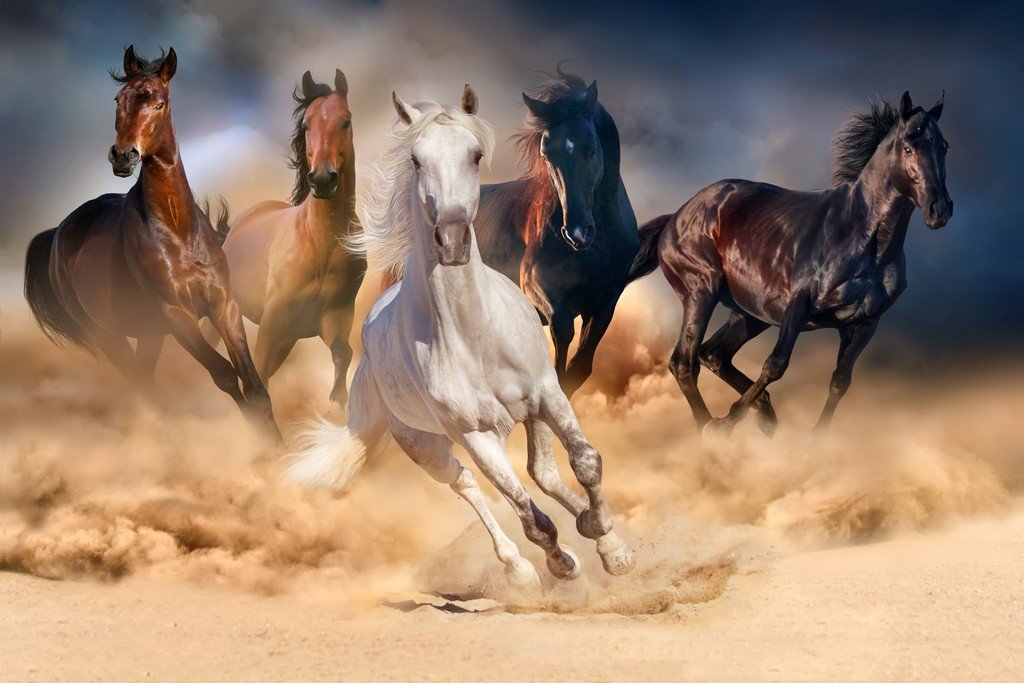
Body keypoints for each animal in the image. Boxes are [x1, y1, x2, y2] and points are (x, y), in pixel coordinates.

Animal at [23, 46, 278, 438]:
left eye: (160, 103)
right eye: (119, 99)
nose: (122, 155)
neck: (177, 230)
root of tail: (57, 233)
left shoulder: (224, 305)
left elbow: (253, 384)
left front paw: (279, 445)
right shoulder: (175, 315)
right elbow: (224, 375)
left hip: (148, 334)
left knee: (146, 379)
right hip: (108, 336)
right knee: (142, 385)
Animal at [217, 70, 363, 406]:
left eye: (346, 121)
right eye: (307, 125)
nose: (322, 179)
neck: (321, 241)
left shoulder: (334, 317)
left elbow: (343, 357)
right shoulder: (274, 321)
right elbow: (258, 378)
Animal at [473, 70, 638, 397]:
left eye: (592, 149)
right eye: (547, 154)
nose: (577, 232)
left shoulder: (606, 300)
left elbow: (580, 367)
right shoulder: (536, 283)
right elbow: (562, 333)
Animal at [627, 91, 952, 435]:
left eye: (943, 146)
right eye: (908, 147)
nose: (940, 209)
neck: (864, 241)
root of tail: (676, 216)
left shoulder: (864, 324)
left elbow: (840, 381)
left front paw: (815, 438)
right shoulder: (799, 305)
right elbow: (775, 365)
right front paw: (729, 420)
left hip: (749, 313)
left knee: (713, 354)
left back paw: (764, 414)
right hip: (701, 292)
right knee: (684, 363)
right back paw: (712, 428)